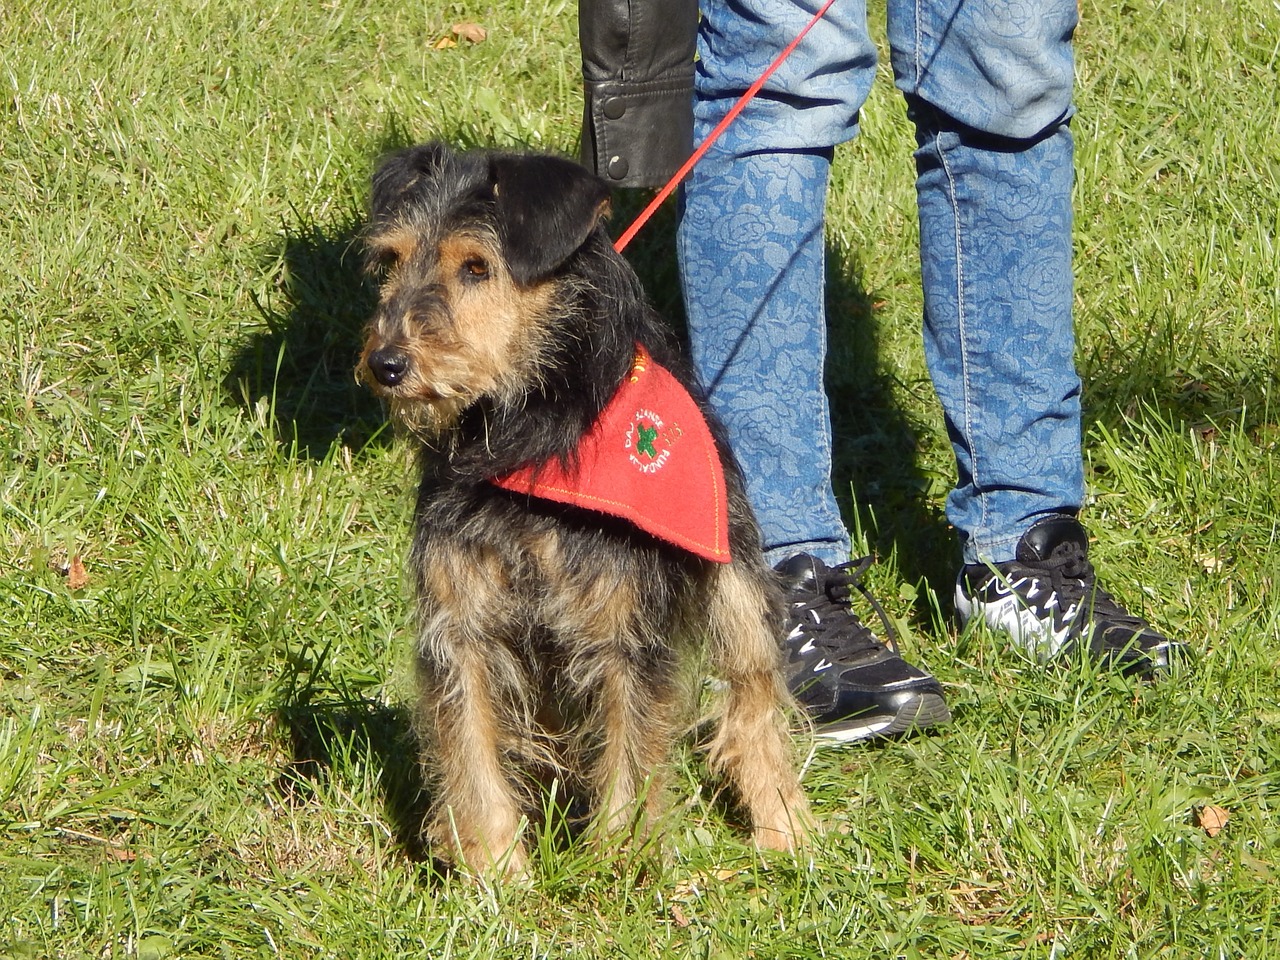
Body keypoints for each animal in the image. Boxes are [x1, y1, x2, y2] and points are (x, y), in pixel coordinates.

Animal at [355, 142, 803, 880]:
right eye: (392, 260)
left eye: (476, 267)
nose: (386, 363)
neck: (526, 441)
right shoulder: (460, 627)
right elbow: (472, 756)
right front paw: (494, 874)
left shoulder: (626, 634)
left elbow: (629, 757)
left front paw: (618, 870)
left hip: (735, 583)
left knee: (755, 703)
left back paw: (788, 833)